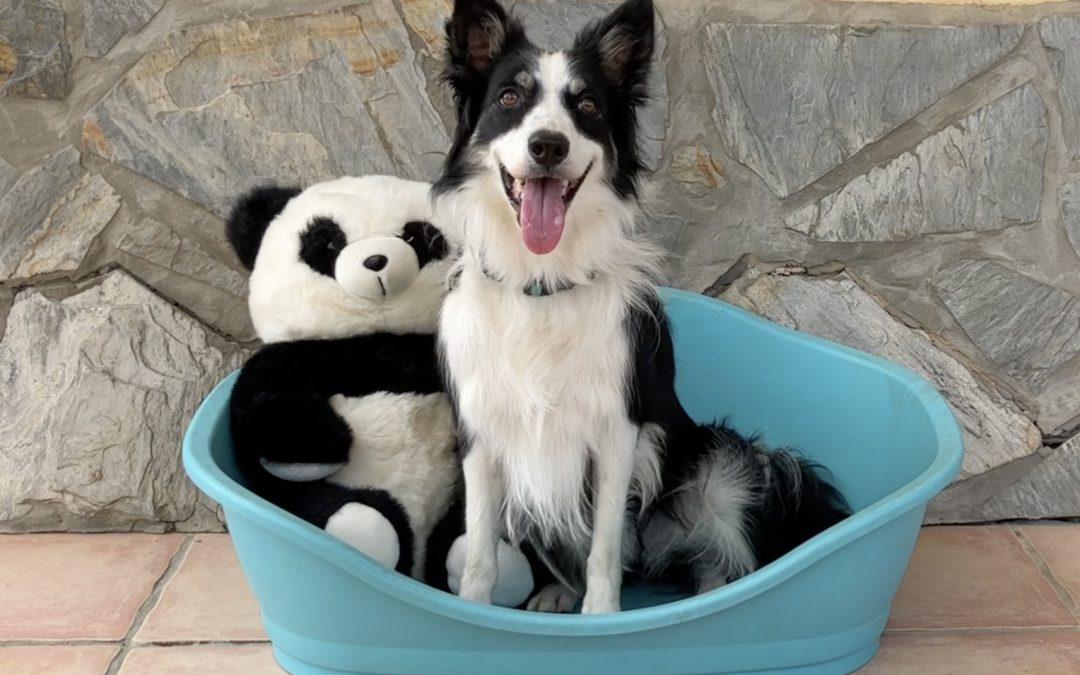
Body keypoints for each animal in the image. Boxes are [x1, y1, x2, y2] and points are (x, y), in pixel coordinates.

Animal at [434, 0, 846, 613]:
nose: (548, 146)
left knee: (720, 563)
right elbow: (482, 552)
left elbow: (604, 549)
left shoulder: (618, 433)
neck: (542, 284)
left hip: (722, 463)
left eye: (585, 106)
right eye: (509, 97)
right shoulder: (481, 433)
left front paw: (602, 618)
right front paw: (473, 614)